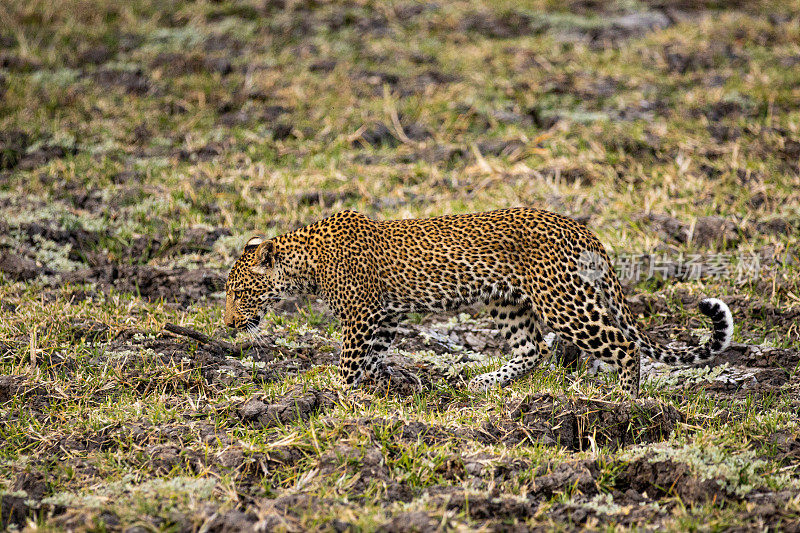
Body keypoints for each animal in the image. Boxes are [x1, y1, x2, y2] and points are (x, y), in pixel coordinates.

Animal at [223, 207, 732, 394]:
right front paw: (382, 385)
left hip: (564, 302)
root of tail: (582, 229)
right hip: (509, 301)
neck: (302, 265)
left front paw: (334, 396)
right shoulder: (385, 317)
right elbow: (373, 357)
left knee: (622, 345)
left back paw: (624, 403)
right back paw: (483, 382)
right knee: (533, 349)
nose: (227, 324)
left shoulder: (363, 315)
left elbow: (350, 361)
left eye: (239, 293)